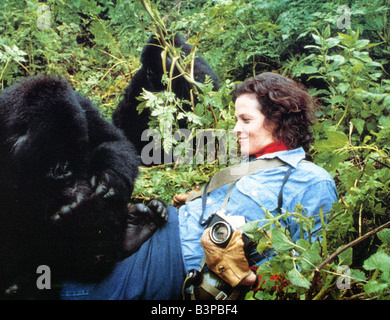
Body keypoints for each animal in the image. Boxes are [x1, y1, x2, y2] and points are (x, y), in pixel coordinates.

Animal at [0, 75, 166, 300]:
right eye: (55, 165)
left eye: (74, 154)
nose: (65, 172)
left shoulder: (82, 107)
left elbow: (113, 142)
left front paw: (109, 178)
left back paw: (133, 231)